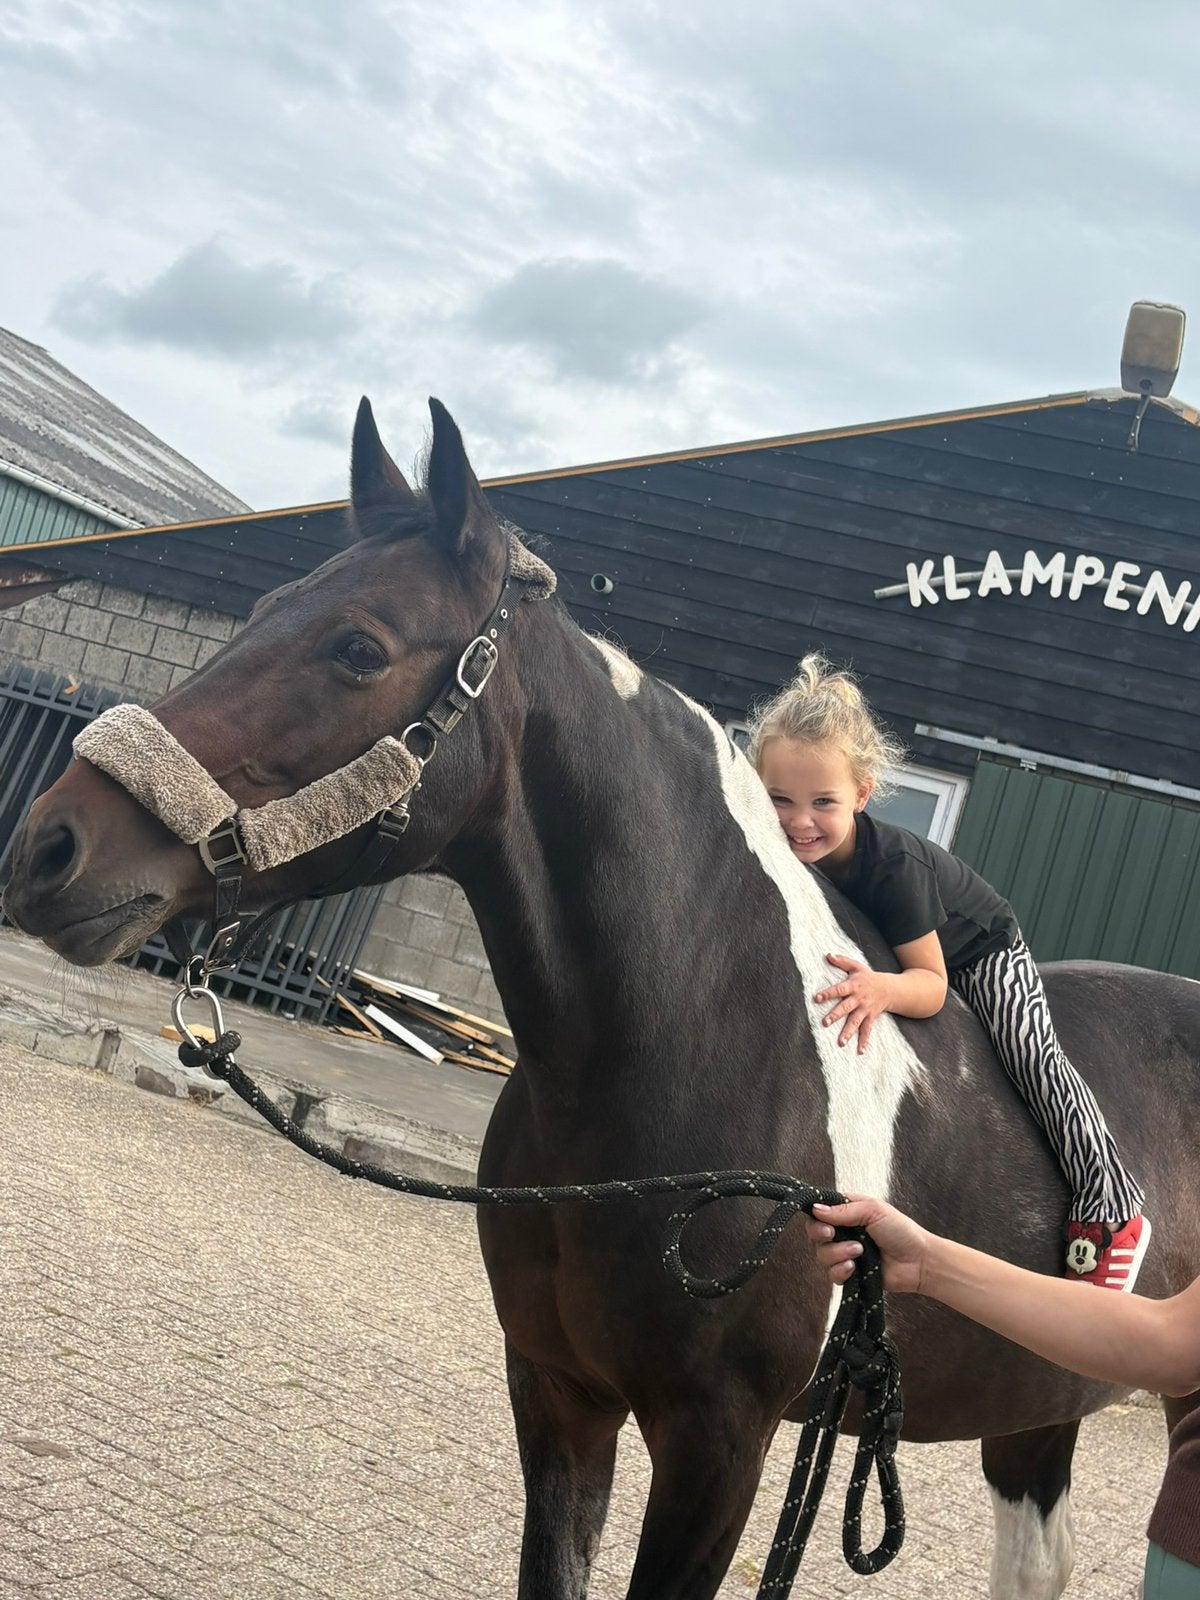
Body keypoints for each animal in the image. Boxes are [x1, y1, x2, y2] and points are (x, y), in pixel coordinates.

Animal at [5, 396, 1199, 1600]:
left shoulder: (721, 1446)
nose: (49, 848)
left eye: (358, 648)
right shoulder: (558, 1395)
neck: (697, 1043)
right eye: (259, 611)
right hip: (1037, 1406)